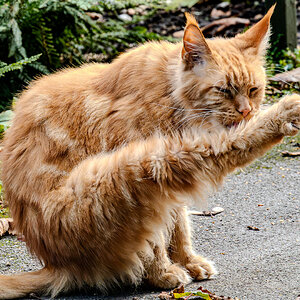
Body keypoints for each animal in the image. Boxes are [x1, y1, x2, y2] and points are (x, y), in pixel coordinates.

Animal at [0, 4, 300, 298]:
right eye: (224, 90)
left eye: (253, 90)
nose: (247, 111)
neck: (171, 96)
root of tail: (58, 265)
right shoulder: (160, 166)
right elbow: (160, 238)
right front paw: (165, 272)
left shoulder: (170, 187)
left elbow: (179, 226)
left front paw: (189, 261)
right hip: (135, 167)